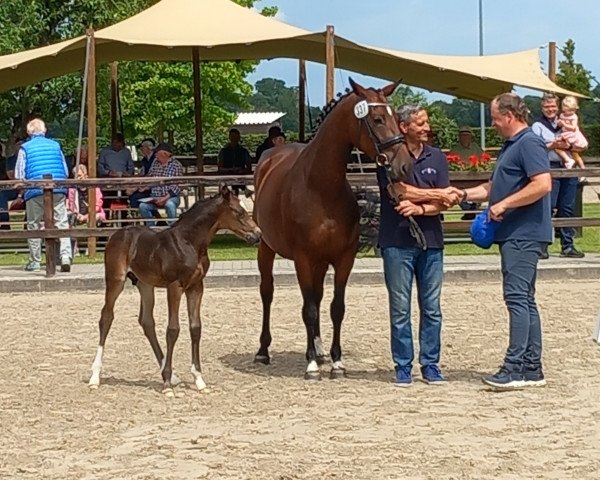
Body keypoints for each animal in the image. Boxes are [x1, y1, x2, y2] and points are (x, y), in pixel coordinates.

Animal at [88, 186, 262, 396]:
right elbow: (173, 329)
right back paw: (95, 377)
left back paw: (172, 375)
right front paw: (167, 385)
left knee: (146, 322)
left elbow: (195, 328)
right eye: (239, 212)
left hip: (145, 284)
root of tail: (116, 234)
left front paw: (199, 380)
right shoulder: (175, 286)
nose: (258, 234)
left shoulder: (196, 286)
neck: (189, 242)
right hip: (115, 280)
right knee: (106, 317)